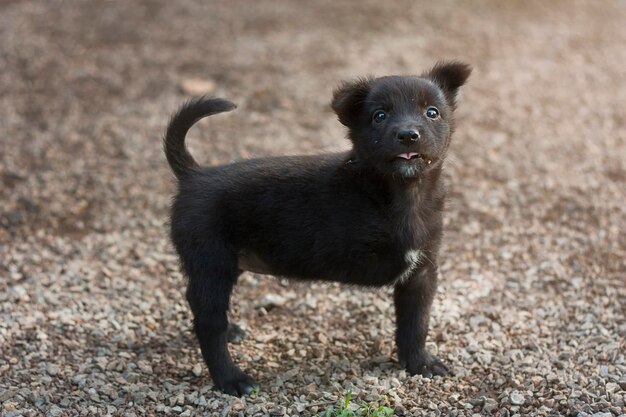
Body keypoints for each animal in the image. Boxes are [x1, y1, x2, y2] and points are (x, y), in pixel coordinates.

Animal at [163, 61, 470, 394]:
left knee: (197, 302)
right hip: (212, 262)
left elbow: (416, 323)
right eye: (379, 115)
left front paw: (418, 363)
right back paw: (231, 379)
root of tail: (193, 175)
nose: (408, 135)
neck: (404, 191)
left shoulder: (421, 272)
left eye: (432, 112)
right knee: (209, 322)